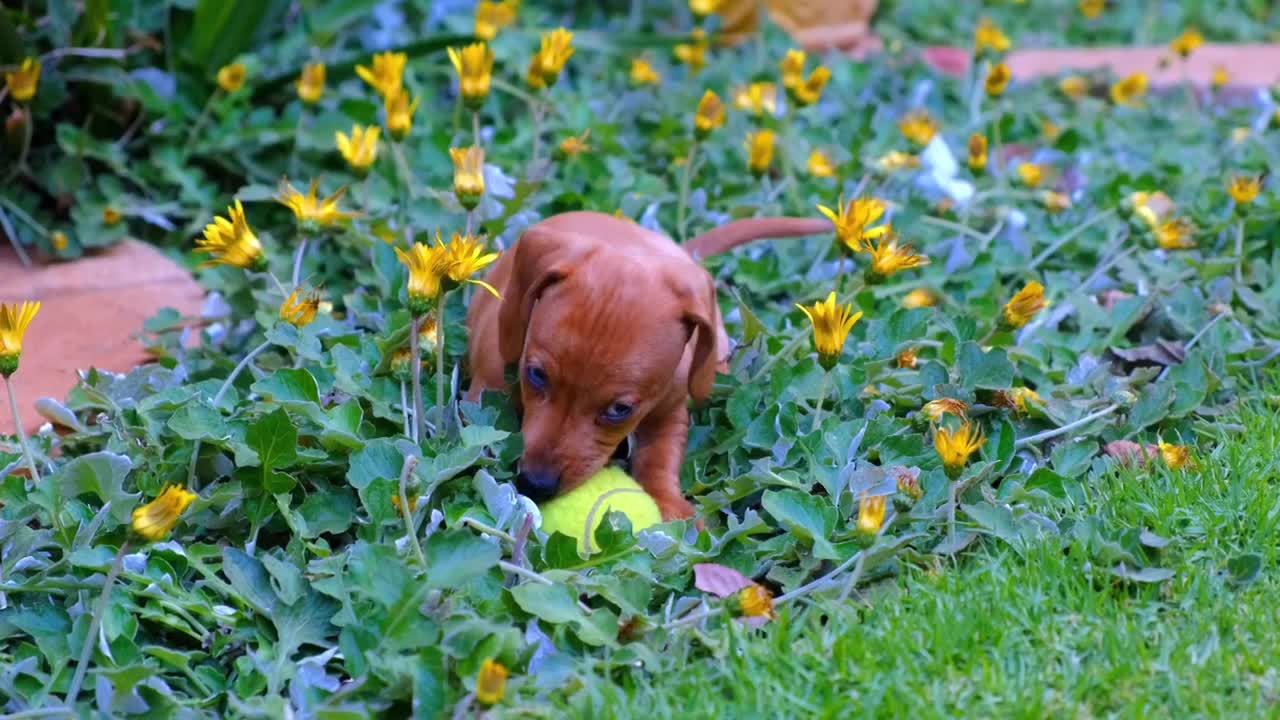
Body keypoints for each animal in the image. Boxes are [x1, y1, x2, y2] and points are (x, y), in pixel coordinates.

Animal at [471, 210, 829, 517]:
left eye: (620, 410)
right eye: (536, 375)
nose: (535, 484)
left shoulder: (670, 413)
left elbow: (660, 457)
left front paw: (669, 505)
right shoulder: (482, 395)